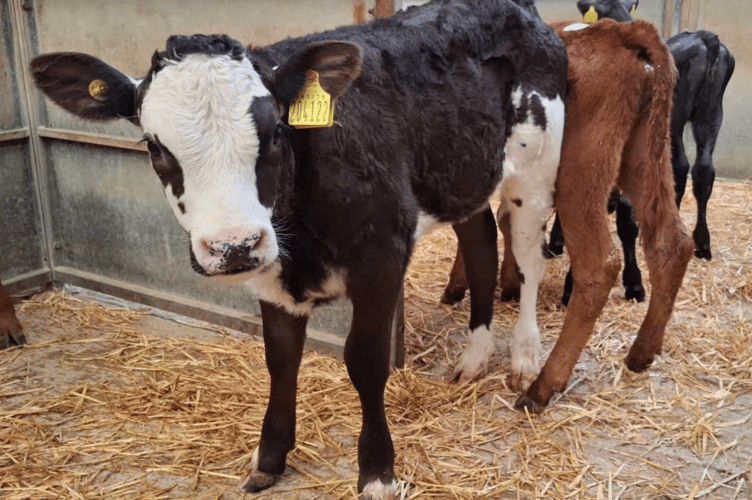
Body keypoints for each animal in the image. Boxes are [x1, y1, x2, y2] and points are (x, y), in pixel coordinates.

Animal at [30, 0, 568, 496]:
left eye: (275, 132)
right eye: (153, 146)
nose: (233, 245)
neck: (299, 235)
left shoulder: (381, 259)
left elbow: (365, 361)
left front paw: (377, 471)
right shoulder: (270, 274)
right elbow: (281, 360)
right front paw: (269, 458)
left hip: (536, 171)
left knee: (529, 260)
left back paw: (524, 359)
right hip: (462, 174)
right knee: (481, 244)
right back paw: (474, 358)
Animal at [442, 17, 694, 411]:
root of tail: (620, 31)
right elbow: (506, 226)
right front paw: (506, 282)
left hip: (581, 173)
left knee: (599, 264)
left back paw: (544, 385)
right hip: (644, 156)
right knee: (672, 243)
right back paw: (642, 352)